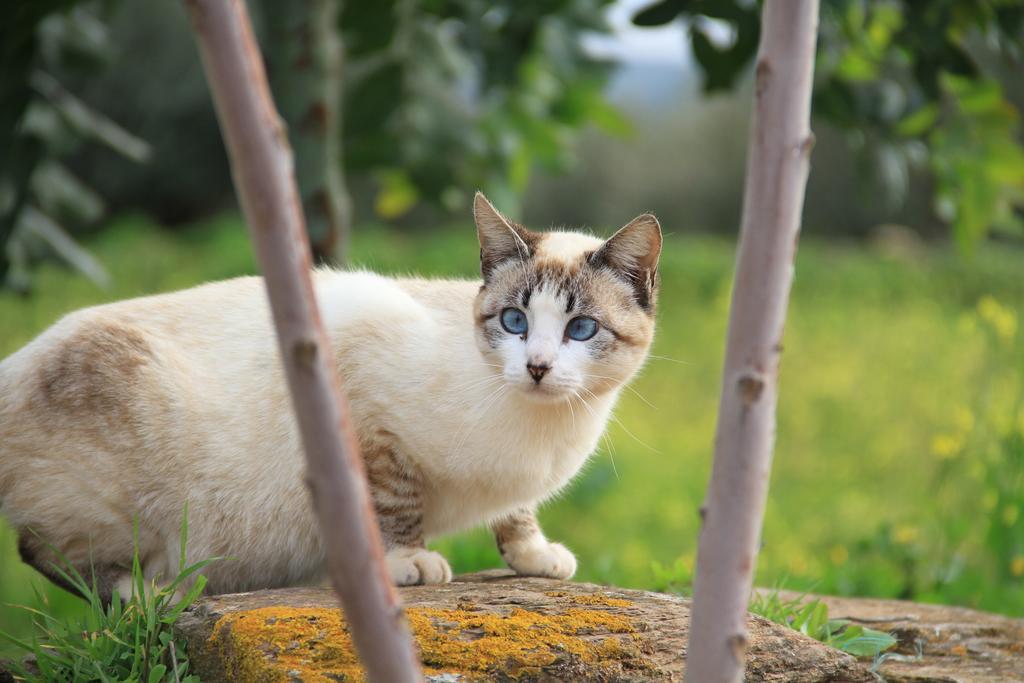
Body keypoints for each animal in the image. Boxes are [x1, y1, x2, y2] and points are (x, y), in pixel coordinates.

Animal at [0, 192, 659, 598]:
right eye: (515, 322)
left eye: (581, 329)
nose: (538, 368)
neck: (541, 430)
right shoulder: (369, 418)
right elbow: (394, 503)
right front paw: (408, 564)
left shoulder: (512, 488)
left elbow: (516, 517)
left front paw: (536, 559)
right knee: (43, 551)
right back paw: (147, 594)